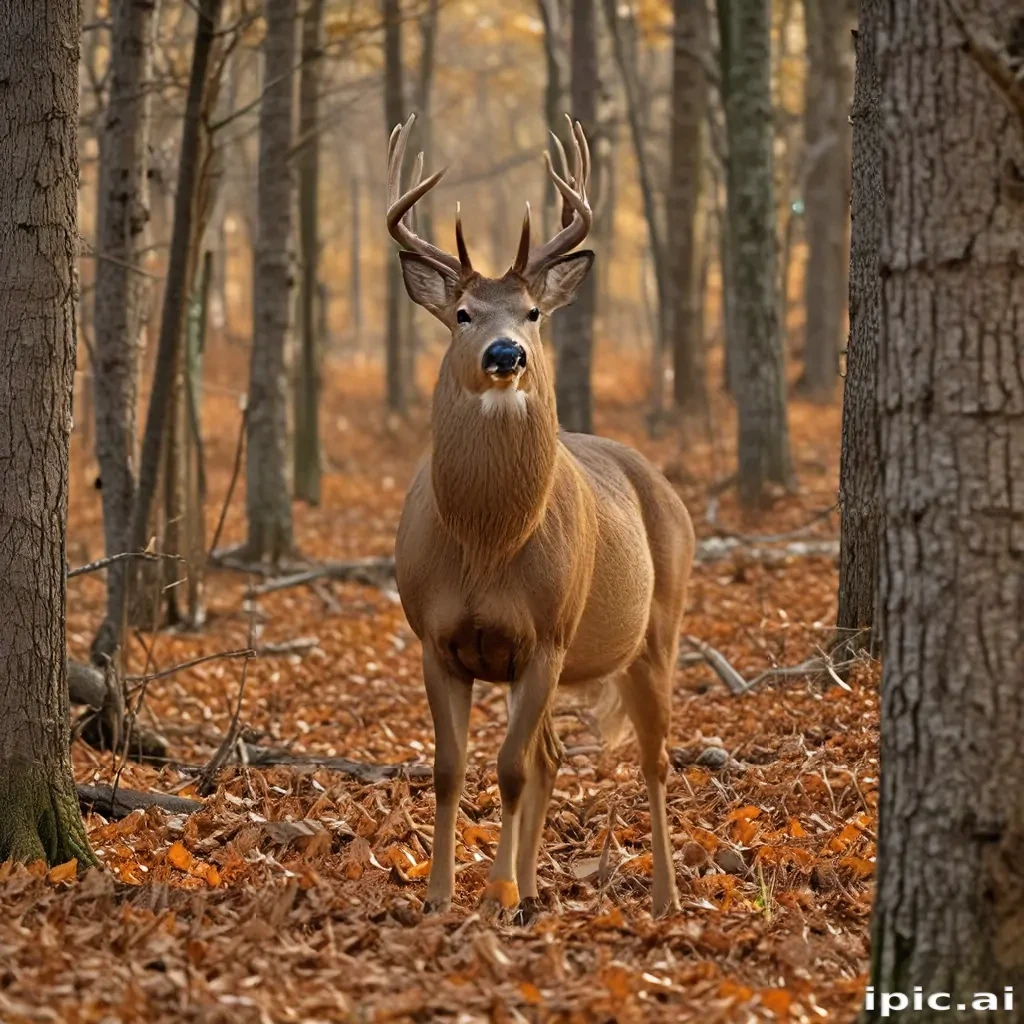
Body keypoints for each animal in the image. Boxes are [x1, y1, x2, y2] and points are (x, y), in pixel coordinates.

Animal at [388, 113, 696, 921]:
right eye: (462, 314)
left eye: (531, 312)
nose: (506, 353)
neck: (489, 542)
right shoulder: (436, 638)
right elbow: (451, 767)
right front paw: (441, 895)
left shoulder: (546, 638)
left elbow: (509, 769)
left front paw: (493, 894)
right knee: (555, 754)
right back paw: (533, 888)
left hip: (656, 629)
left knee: (653, 757)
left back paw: (664, 896)